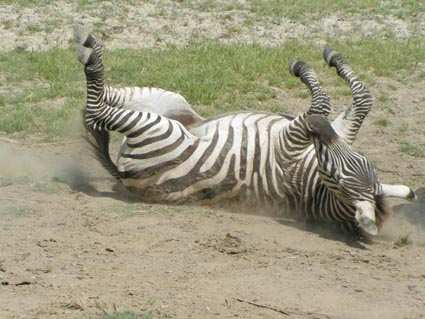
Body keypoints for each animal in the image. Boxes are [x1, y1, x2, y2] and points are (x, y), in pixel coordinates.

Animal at [75, 31, 414, 238]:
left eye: (338, 176)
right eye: (355, 160)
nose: (320, 128)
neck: (309, 179)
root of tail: (122, 171)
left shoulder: (289, 142)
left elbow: (324, 102)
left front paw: (305, 71)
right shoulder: (337, 131)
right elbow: (363, 98)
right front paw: (329, 58)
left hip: (158, 128)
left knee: (96, 107)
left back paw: (90, 53)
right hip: (168, 102)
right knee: (107, 98)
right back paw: (88, 48)